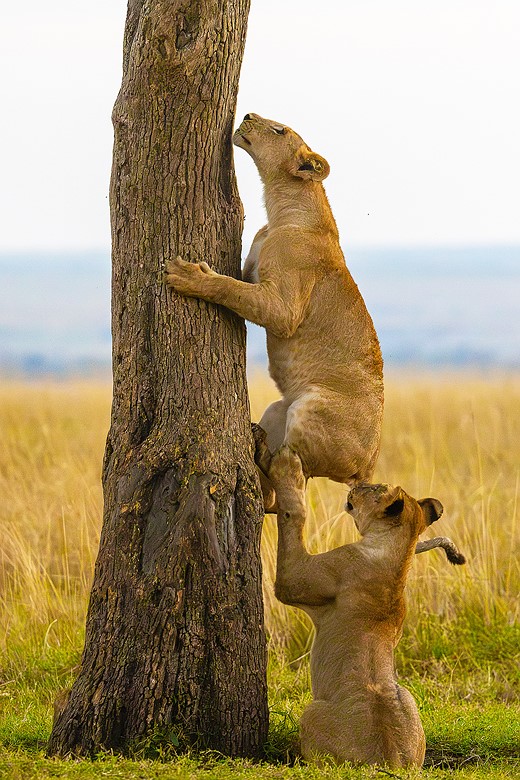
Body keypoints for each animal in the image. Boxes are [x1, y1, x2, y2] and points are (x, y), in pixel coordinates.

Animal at [165, 113, 384, 510]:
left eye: (280, 130)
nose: (248, 114)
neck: (282, 211)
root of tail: (368, 468)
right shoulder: (251, 269)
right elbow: (234, 281)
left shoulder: (283, 307)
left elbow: (230, 288)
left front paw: (188, 276)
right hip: (277, 409)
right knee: (271, 495)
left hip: (309, 407)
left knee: (292, 481)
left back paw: (269, 458)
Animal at [267, 444, 465, 768]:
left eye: (373, 488)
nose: (355, 484)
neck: (399, 555)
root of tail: (389, 761)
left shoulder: (294, 579)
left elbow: (293, 513)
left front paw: (288, 466)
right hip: (408, 698)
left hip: (311, 712)